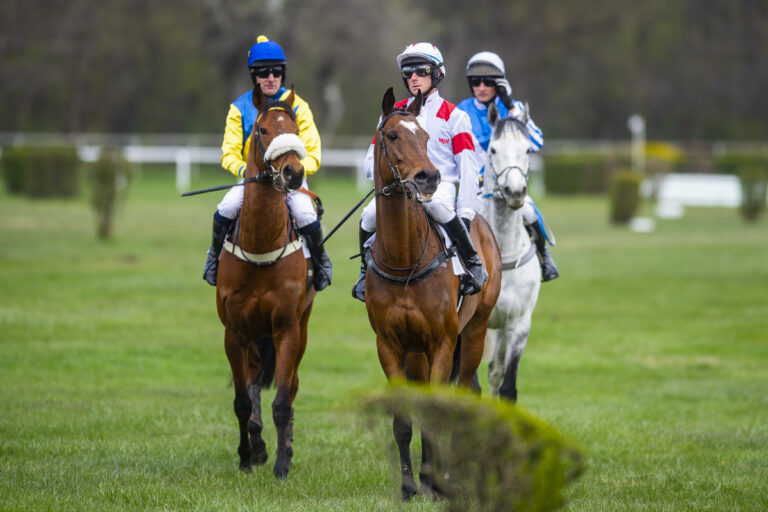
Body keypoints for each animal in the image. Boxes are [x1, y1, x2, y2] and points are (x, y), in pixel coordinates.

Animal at [214, 85, 314, 480]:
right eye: (262, 130)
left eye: (296, 130)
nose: (293, 173)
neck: (260, 246)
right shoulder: (234, 331)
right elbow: (243, 400)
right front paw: (247, 454)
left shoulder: (286, 326)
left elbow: (284, 399)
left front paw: (282, 463)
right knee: (255, 378)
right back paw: (257, 443)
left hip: (302, 324)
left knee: (294, 384)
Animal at [366, 88, 504, 500]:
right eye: (392, 135)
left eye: (427, 137)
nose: (428, 176)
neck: (405, 260)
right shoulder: (391, 344)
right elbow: (404, 420)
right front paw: (410, 485)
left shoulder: (443, 341)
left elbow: (438, 412)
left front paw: (436, 482)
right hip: (417, 352)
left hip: (474, 332)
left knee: (464, 395)